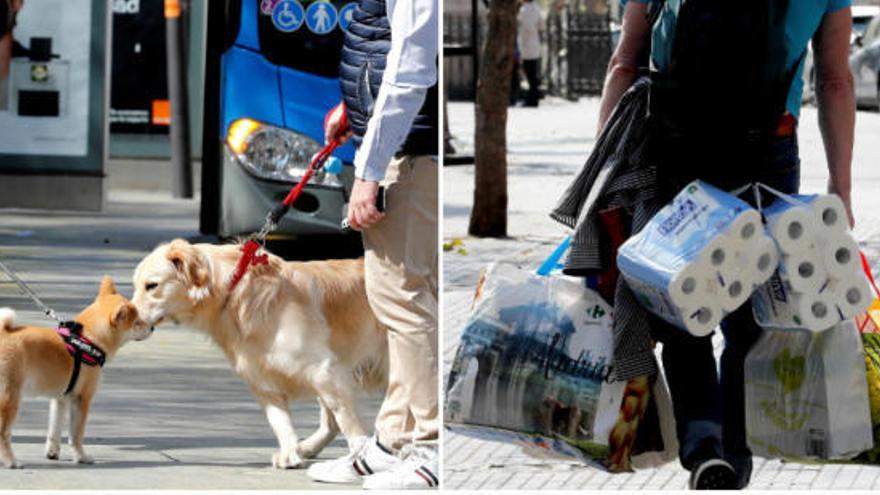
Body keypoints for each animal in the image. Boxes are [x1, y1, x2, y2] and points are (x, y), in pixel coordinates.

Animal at [0, 280, 151, 468]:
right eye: (137, 322)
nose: (152, 327)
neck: (89, 339)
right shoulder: (82, 399)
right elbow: (76, 435)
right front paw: (81, 457)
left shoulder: (60, 399)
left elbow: (55, 430)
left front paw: (52, 453)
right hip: (10, 397)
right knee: (3, 433)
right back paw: (11, 461)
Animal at [130, 240, 384, 468]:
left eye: (151, 285)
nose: (128, 316)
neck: (233, 293)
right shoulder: (262, 380)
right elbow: (279, 421)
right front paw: (290, 453)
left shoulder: (323, 369)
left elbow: (345, 417)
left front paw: (359, 453)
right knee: (330, 424)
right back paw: (307, 447)